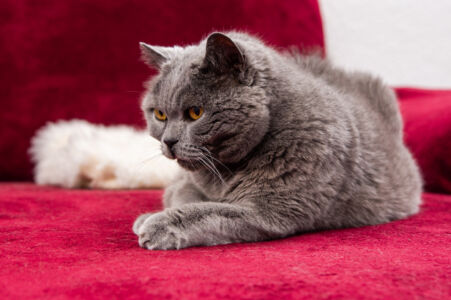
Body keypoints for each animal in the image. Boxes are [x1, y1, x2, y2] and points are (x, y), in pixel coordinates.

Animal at [132, 31, 422, 250]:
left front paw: (157, 225)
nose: (168, 141)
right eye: (159, 114)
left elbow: (210, 211)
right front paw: (147, 218)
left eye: (195, 112)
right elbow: (185, 196)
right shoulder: (185, 182)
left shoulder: (269, 210)